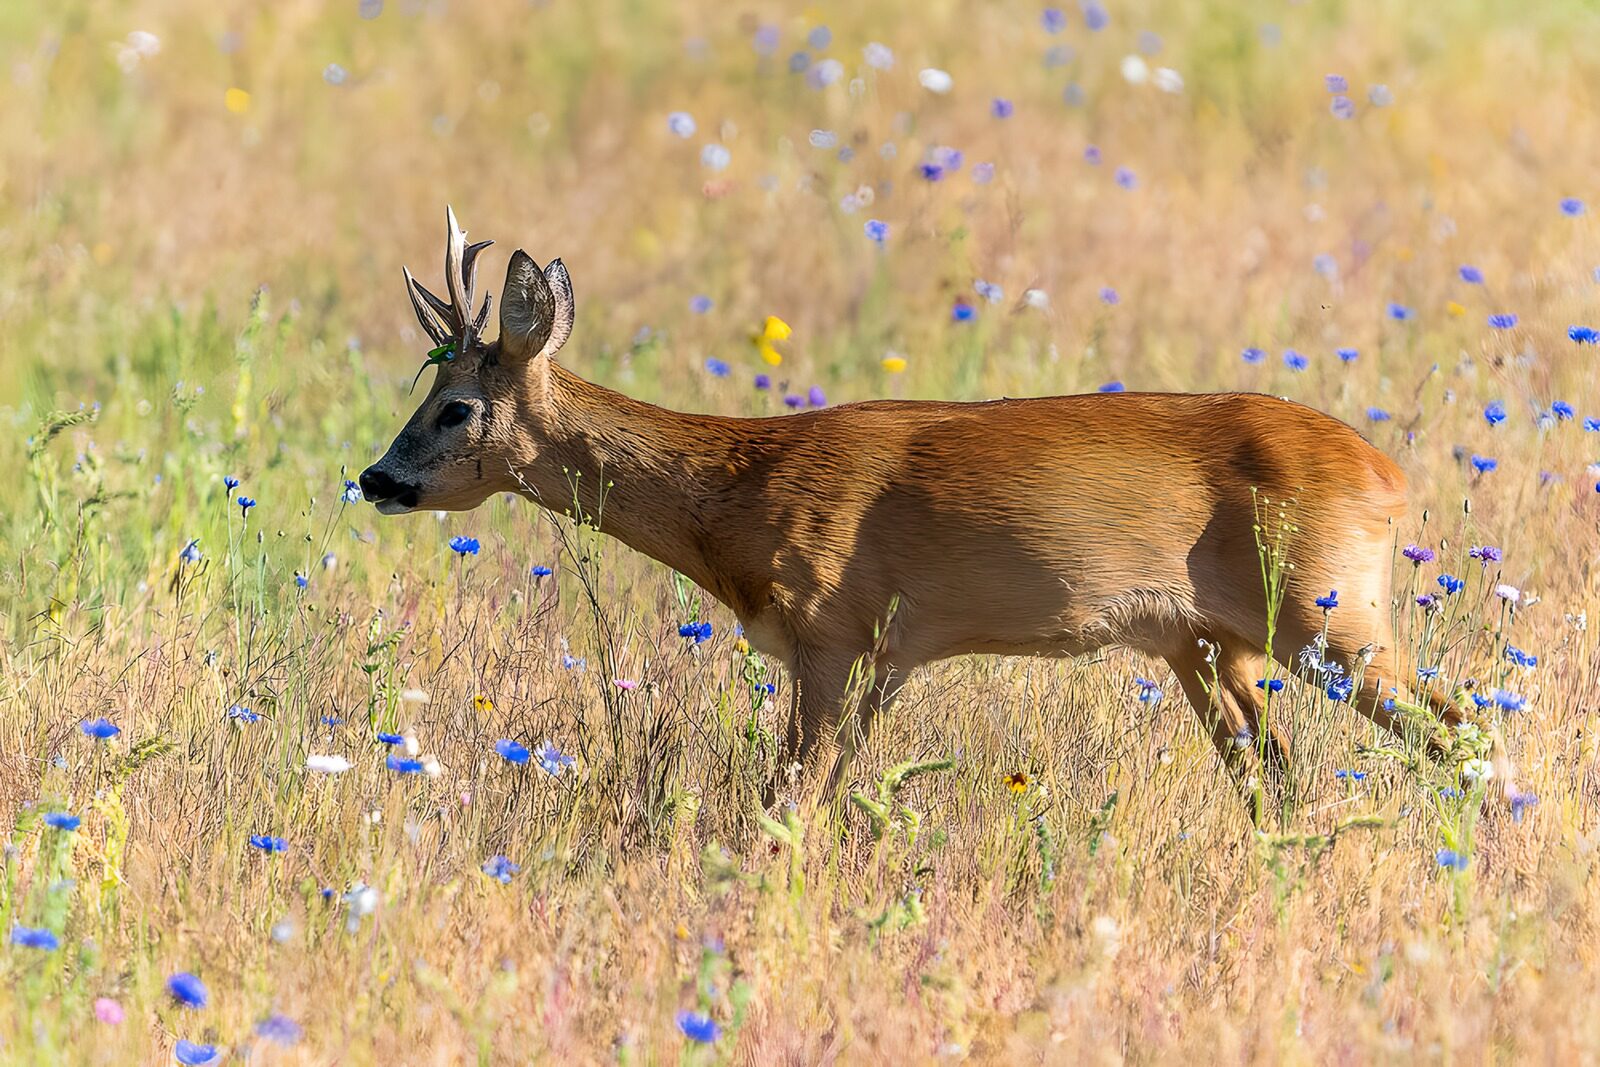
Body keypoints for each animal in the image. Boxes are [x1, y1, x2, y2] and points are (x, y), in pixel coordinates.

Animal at [361, 208, 1471, 814]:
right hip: (1204, 642)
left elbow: (786, 799)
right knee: (1273, 774)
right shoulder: (884, 659)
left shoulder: (832, 630)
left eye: (455, 406)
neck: (741, 493)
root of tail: (1388, 476)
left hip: (1330, 611)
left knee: (1456, 722)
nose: (376, 477)